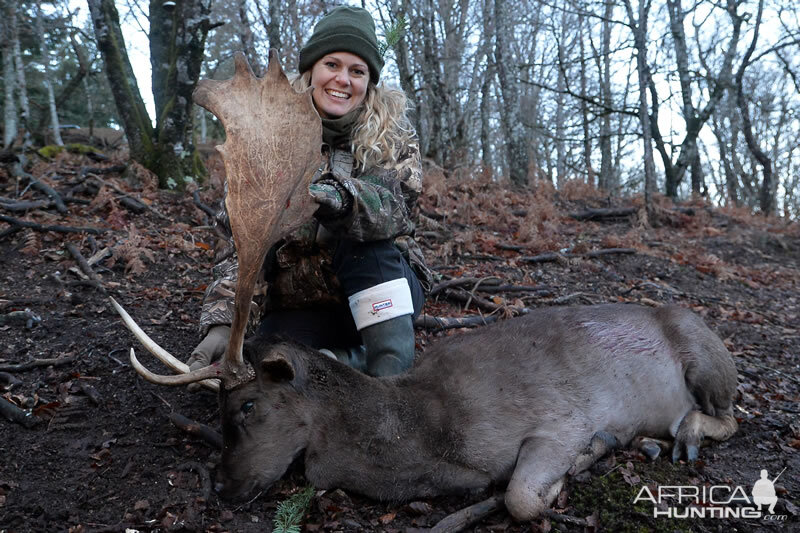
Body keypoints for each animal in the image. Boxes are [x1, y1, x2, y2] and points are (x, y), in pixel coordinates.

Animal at [111, 51, 736, 520]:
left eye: (246, 406)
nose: (218, 486)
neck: (426, 434)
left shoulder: (562, 420)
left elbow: (521, 497)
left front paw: (591, 457)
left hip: (709, 359)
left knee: (726, 415)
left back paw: (680, 434)